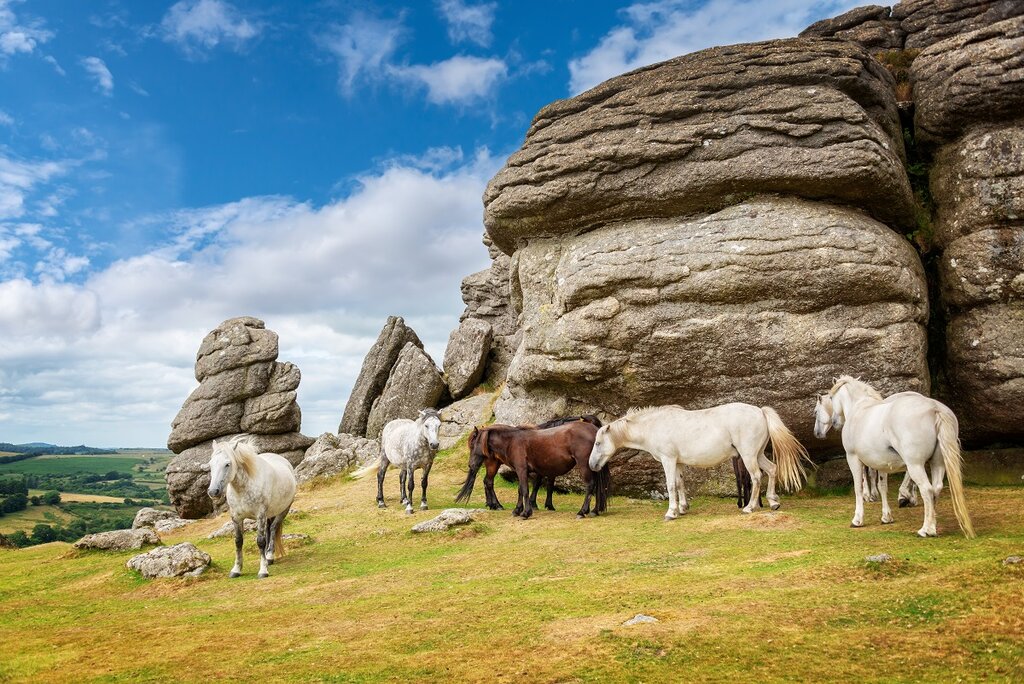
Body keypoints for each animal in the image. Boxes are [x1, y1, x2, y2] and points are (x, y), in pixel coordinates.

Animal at [206, 438, 296, 577]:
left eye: (227, 464)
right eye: (211, 465)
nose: (213, 492)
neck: (243, 488)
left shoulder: (260, 515)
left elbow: (260, 541)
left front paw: (263, 571)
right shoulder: (236, 518)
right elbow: (238, 541)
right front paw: (236, 570)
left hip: (283, 511)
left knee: (273, 528)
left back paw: (269, 556)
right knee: (269, 530)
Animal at [456, 419, 606, 520]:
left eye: (473, 445)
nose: (471, 465)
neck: (512, 441)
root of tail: (594, 430)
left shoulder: (522, 470)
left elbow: (524, 490)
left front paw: (525, 513)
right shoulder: (521, 471)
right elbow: (520, 490)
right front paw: (517, 510)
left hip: (584, 465)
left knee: (590, 485)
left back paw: (582, 512)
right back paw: (594, 510)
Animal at [589, 401, 811, 518]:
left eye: (598, 443)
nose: (592, 465)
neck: (655, 425)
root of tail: (760, 411)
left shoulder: (668, 460)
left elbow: (670, 486)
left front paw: (671, 512)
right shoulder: (677, 463)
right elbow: (680, 484)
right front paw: (682, 508)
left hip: (748, 456)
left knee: (756, 477)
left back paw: (749, 507)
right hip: (757, 454)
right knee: (772, 470)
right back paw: (773, 502)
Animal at [815, 374, 974, 540]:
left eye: (831, 398)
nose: (834, 422)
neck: (859, 409)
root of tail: (934, 408)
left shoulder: (853, 458)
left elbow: (858, 487)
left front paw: (857, 519)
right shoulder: (882, 463)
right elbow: (882, 487)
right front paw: (886, 517)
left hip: (915, 465)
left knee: (927, 490)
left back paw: (925, 529)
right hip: (937, 464)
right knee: (936, 489)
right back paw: (931, 526)